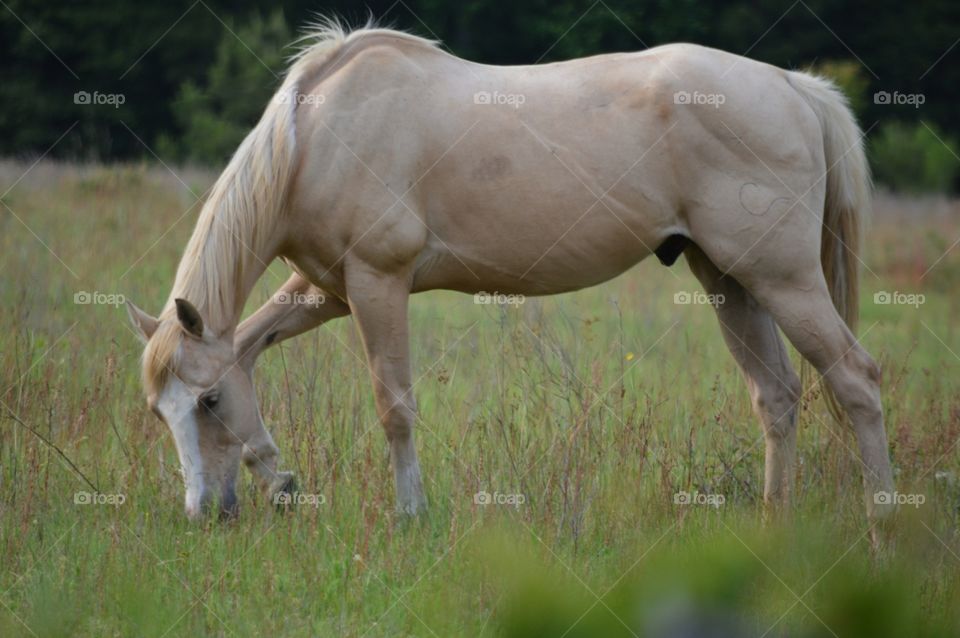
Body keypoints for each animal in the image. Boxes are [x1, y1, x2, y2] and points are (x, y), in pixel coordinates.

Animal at [125, 21, 895, 523]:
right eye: (163, 411)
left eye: (208, 403)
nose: (203, 513)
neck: (315, 137)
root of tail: (794, 87)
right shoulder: (324, 291)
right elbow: (251, 343)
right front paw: (275, 474)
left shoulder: (377, 283)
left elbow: (394, 406)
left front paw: (412, 515)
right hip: (729, 281)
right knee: (777, 397)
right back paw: (774, 523)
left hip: (783, 279)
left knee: (855, 379)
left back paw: (882, 522)